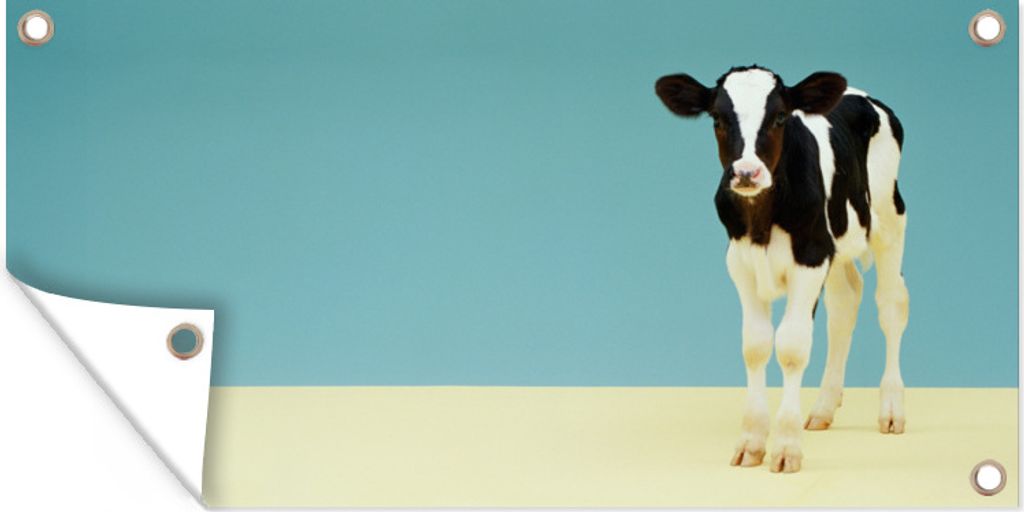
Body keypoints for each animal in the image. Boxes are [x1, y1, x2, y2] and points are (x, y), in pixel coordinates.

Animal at [654, 65, 909, 473]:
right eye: (718, 119)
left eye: (778, 117)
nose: (746, 173)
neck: (761, 221)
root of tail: (862, 95)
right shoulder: (741, 263)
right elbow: (755, 345)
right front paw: (752, 441)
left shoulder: (810, 258)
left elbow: (791, 346)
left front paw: (787, 446)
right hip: (836, 242)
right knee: (845, 304)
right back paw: (822, 408)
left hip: (889, 217)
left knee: (891, 304)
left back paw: (891, 410)